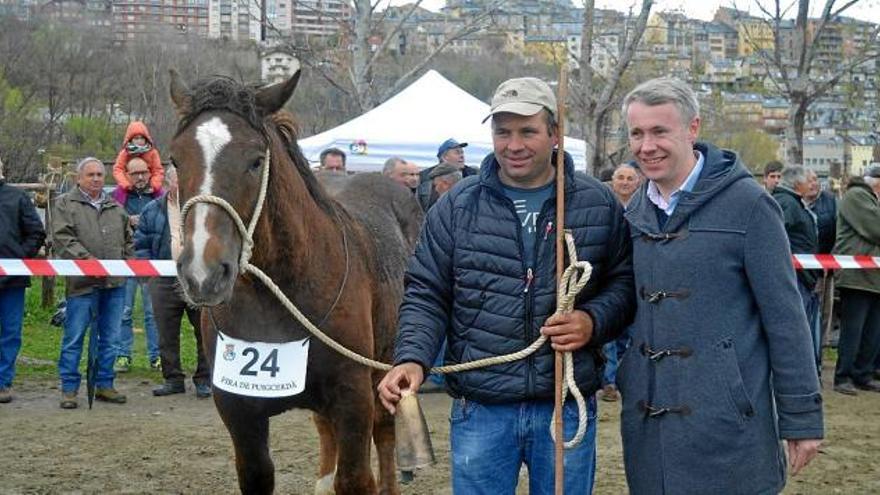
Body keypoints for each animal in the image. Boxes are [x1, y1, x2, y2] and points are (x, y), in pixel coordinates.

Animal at [169, 70, 426, 495]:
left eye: (256, 161)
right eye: (175, 159)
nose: (202, 273)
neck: (277, 300)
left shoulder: (352, 397)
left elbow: (356, 478)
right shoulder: (238, 408)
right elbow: (258, 472)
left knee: (384, 434)